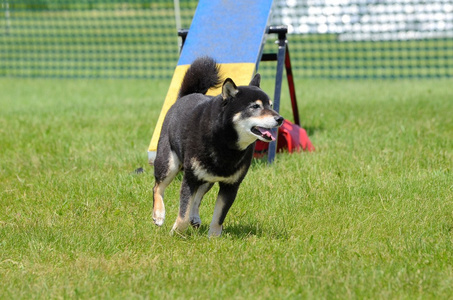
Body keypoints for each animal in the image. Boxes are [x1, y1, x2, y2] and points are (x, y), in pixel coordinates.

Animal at [151, 56, 282, 237]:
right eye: (255, 107)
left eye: (270, 105)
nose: (280, 119)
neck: (226, 143)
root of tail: (185, 96)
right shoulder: (190, 178)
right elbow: (183, 212)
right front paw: (177, 233)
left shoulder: (231, 185)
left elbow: (219, 215)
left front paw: (213, 237)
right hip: (169, 164)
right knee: (157, 187)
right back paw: (158, 214)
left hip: (208, 177)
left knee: (197, 197)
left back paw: (194, 217)